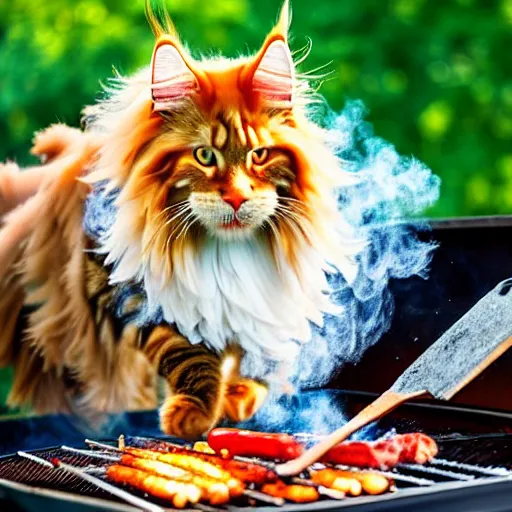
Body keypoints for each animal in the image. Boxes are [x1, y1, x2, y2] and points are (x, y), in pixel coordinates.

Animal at [0, 1, 364, 440]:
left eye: (259, 155)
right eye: (204, 156)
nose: (237, 197)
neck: (227, 254)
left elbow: (252, 352)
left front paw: (238, 397)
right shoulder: (133, 294)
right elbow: (186, 354)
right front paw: (195, 412)